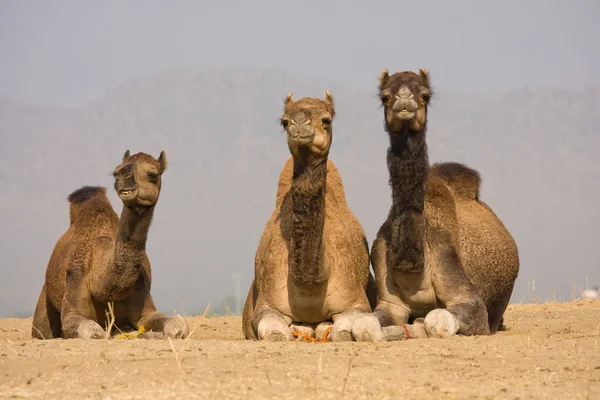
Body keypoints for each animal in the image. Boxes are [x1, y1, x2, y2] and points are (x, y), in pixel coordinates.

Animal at [30, 152, 189, 340]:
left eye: (152, 174)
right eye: (115, 172)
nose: (123, 175)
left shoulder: (144, 302)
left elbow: (178, 325)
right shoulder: (75, 287)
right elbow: (93, 331)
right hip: (44, 303)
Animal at [240, 92, 378, 342]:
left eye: (326, 120)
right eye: (284, 122)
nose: (299, 124)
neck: (311, 285)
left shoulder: (355, 302)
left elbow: (342, 331)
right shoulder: (267, 304)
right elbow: (275, 332)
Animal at [370, 69, 520, 338]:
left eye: (425, 95)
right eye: (385, 96)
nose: (404, 100)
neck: (412, 265)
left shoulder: (461, 286)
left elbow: (435, 318)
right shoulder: (389, 302)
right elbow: (361, 320)